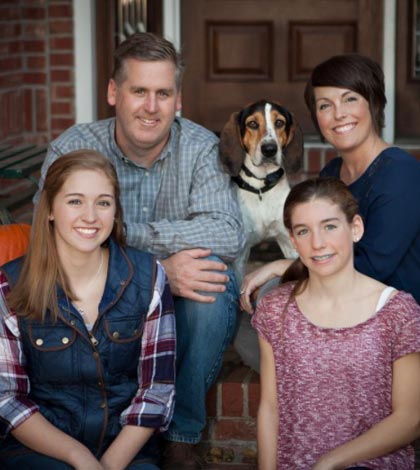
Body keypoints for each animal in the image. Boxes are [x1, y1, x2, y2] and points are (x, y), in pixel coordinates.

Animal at [218, 98, 304, 280]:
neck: (261, 186)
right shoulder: (240, 255)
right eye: (252, 124)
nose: (269, 149)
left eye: (279, 122)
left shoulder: (289, 243)